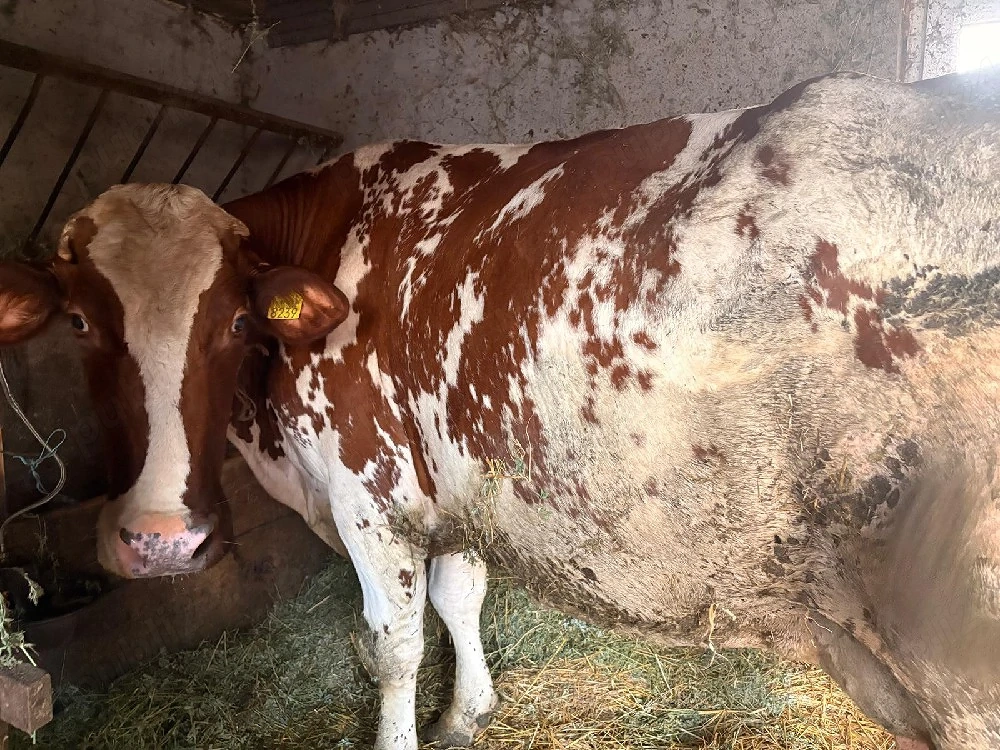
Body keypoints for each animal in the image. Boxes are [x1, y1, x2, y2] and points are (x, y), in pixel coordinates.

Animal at [0, 69, 998, 750]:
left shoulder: (370, 494)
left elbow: (395, 642)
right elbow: (460, 597)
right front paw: (466, 713)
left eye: (234, 320)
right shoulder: (461, 478)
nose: (162, 540)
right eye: (83, 322)